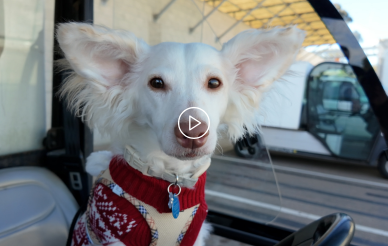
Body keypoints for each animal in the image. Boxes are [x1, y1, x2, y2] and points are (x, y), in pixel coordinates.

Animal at [56, 23, 304, 246]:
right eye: (156, 83)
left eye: (214, 82)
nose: (192, 131)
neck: (172, 181)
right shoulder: (115, 233)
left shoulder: (193, 234)